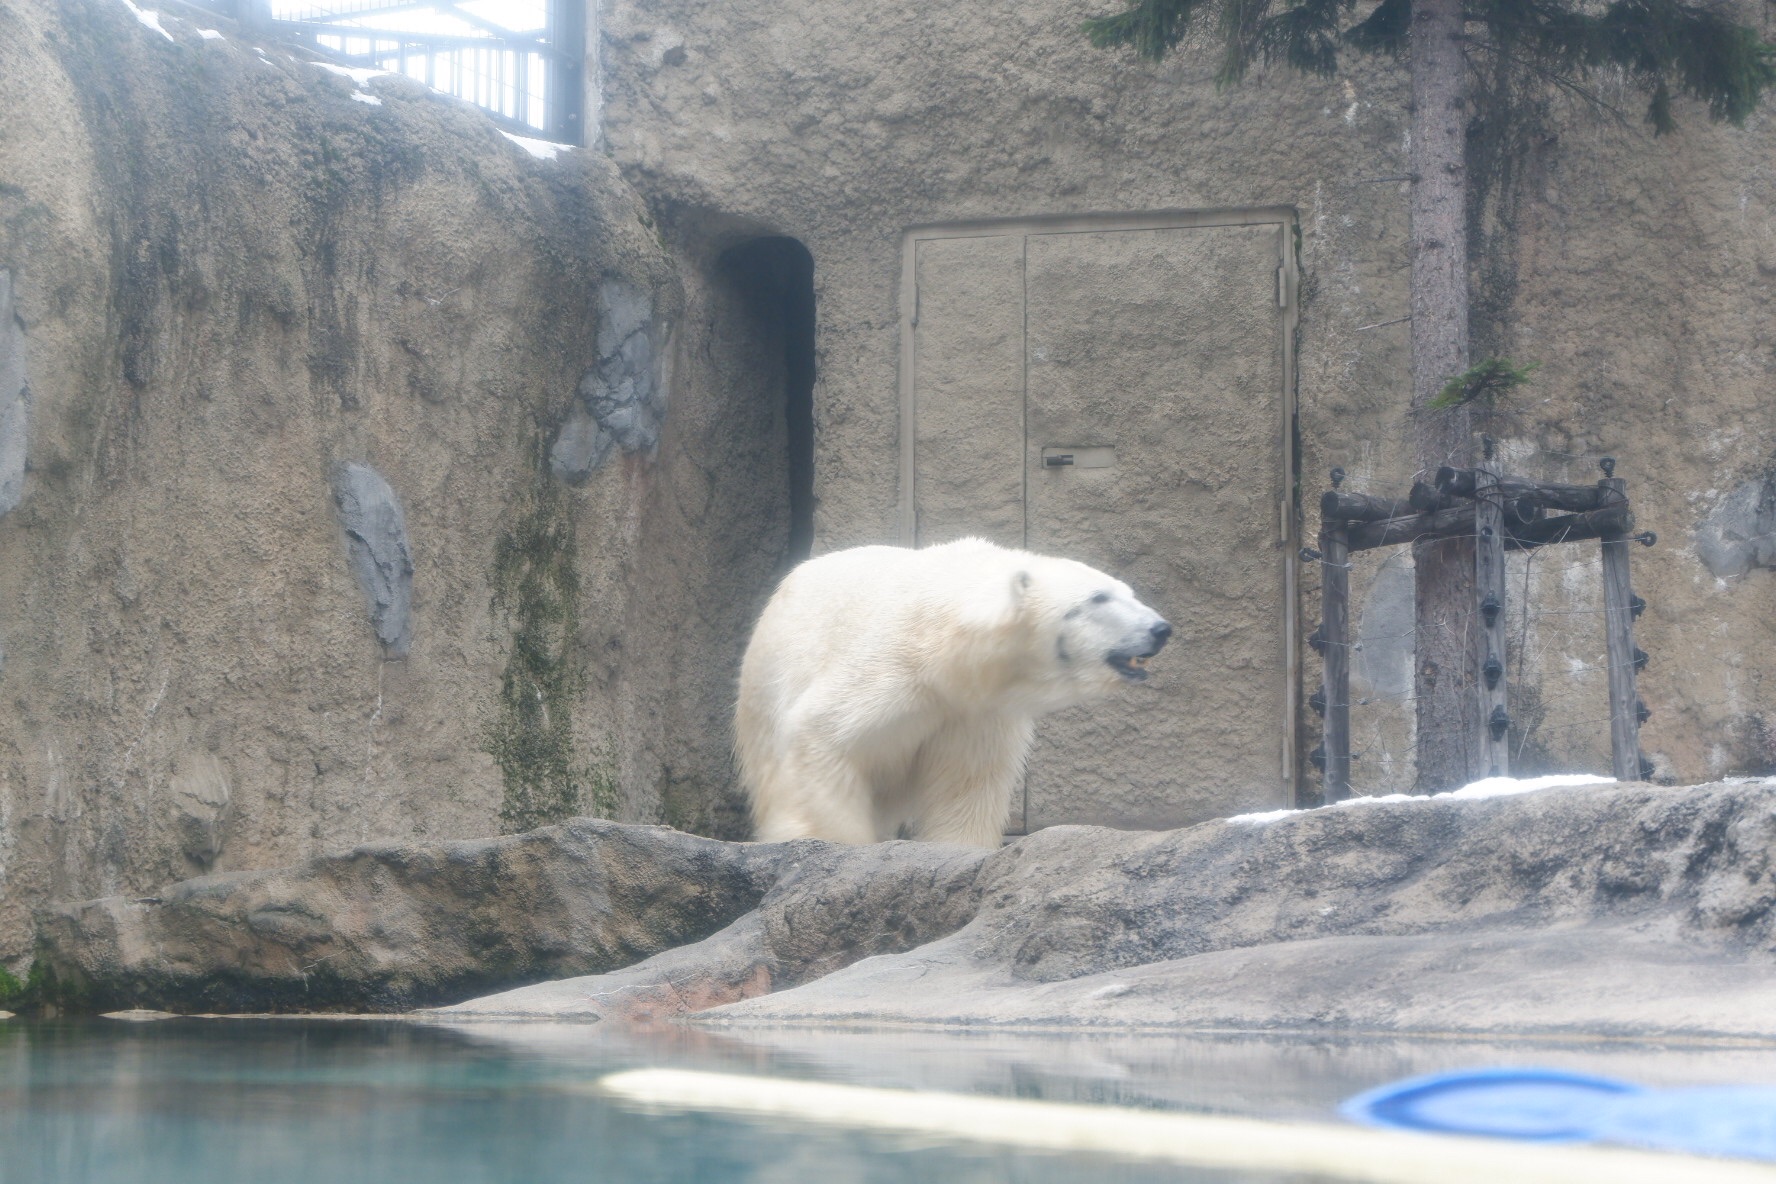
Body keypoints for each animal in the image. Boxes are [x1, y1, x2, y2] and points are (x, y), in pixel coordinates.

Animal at [728, 543, 1172, 848]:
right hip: (765, 682)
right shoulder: (890, 670)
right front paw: (830, 841)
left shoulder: (976, 713)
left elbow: (967, 781)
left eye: (1128, 592)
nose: (1161, 629)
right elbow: (822, 734)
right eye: (1098, 598)